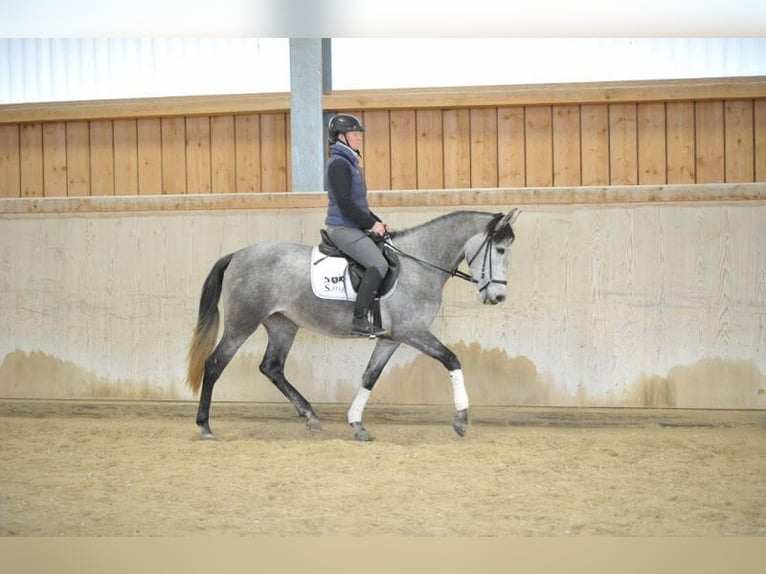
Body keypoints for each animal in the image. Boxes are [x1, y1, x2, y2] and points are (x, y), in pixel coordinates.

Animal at [187, 209, 520, 444]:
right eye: (500, 250)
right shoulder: (413, 332)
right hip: (242, 323)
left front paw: (357, 424)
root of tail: (237, 255)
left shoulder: (392, 338)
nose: (498, 297)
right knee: (215, 364)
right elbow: (452, 359)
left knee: (272, 367)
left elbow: (370, 376)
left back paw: (310, 416)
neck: (420, 263)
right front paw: (461, 419)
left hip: (283, 325)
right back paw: (205, 425)